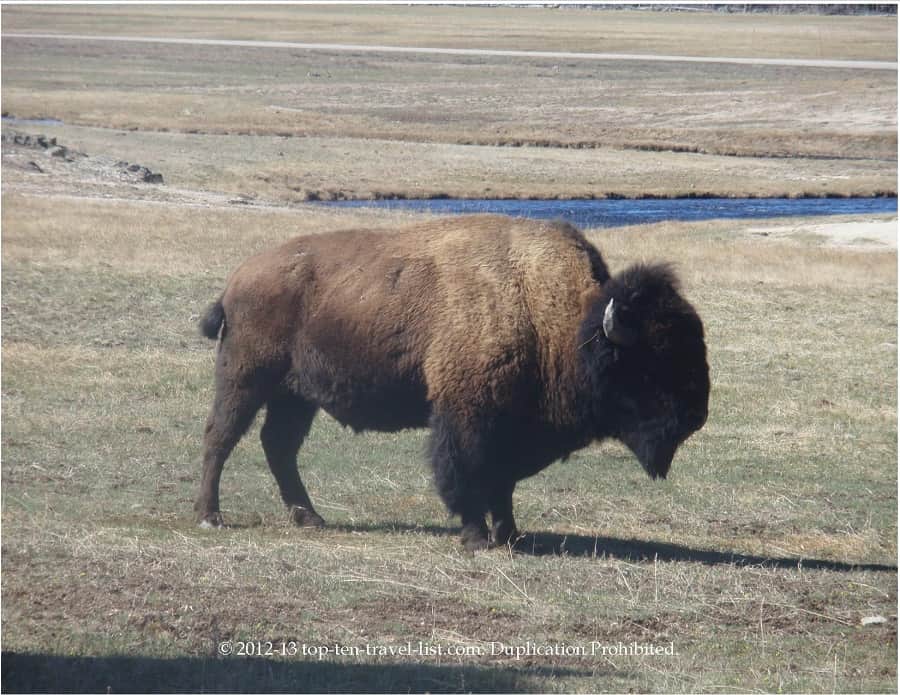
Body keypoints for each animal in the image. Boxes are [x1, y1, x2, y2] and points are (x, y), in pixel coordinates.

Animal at [196, 215, 709, 549]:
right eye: (650, 363)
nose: (697, 416)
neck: (556, 319)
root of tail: (237, 281)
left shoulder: (510, 429)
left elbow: (502, 483)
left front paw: (510, 534)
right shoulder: (466, 415)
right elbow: (466, 474)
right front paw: (478, 537)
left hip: (295, 395)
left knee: (278, 445)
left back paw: (310, 518)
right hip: (246, 377)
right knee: (221, 437)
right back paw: (210, 516)